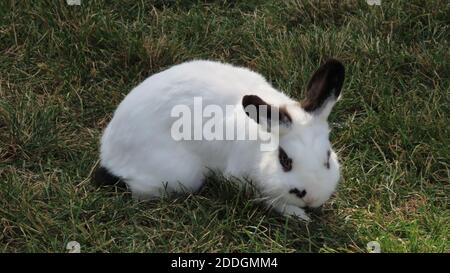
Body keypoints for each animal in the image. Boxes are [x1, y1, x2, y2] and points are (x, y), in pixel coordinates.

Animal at [96, 58, 346, 220]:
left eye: (327, 158)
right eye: (284, 160)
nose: (310, 197)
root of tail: (109, 151)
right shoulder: (239, 179)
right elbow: (268, 199)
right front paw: (297, 215)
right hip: (181, 174)